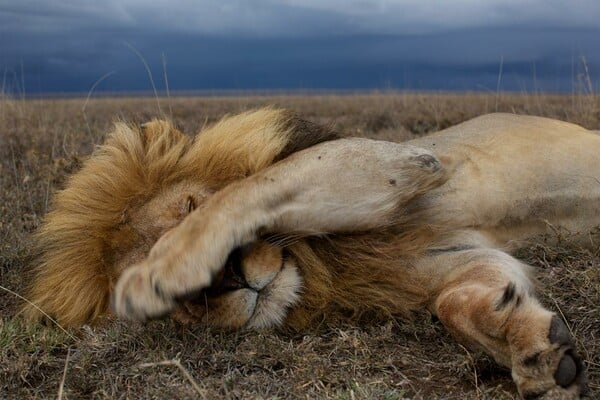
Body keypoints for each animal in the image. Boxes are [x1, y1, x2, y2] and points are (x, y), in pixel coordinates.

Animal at [23, 108, 596, 398]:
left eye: (188, 204)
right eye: (175, 313)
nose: (228, 278)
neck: (317, 261)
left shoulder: (401, 158)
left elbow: (252, 186)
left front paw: (162, 267)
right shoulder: (445, 256)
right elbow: (454, 301)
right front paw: (534, 351)